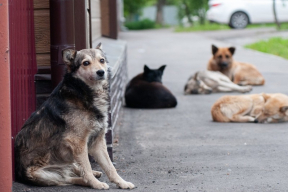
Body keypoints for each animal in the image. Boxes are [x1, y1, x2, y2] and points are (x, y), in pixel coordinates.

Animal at [13, 43, 135, 189]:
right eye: (86, 63)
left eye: (102, 60)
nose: (101, 72)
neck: (82, 91)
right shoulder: (78, 142)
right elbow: (87, 167)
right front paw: (96, 184)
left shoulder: (97, 141)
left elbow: (110, 167)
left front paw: (122, 182)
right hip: (42, 174)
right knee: (69, 179)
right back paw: (90, 181)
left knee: (73, 172)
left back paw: (94, 174)